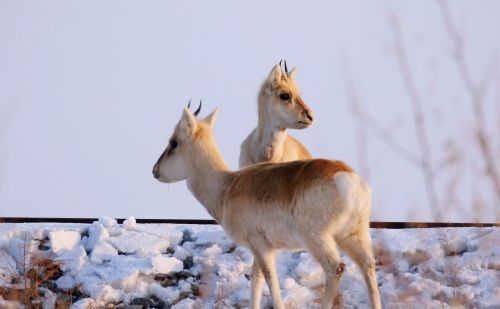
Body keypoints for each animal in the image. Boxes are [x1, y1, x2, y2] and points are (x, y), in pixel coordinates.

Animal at [152, 103, 382, 308]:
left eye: (174, 143)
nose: (155, 170)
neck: (226, 186)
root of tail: (346, 176)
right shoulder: (259, 249)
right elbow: (256, 281)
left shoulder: (262, 246)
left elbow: (270, 281)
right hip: (353, 236)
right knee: (368, 265)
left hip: (318, 240)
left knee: (336, 268)